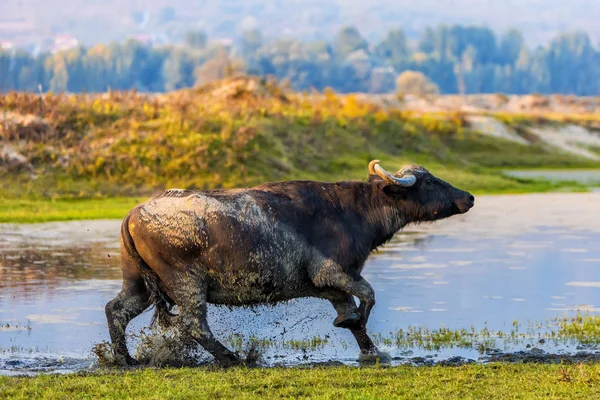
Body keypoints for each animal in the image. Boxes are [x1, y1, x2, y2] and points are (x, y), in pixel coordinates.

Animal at [105, 159, 476, 366]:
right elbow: (368, 298)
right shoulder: (333, 272)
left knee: (116, 310)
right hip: (187, 284)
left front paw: (372, 352)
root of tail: (134, 213)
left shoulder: (332, 288)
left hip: (138, 284)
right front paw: (356, 326)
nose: (469, 197)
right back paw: (231, 358)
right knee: (194, 325)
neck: (353, 211)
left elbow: (356, 321)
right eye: (429, 181)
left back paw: (125, 360)